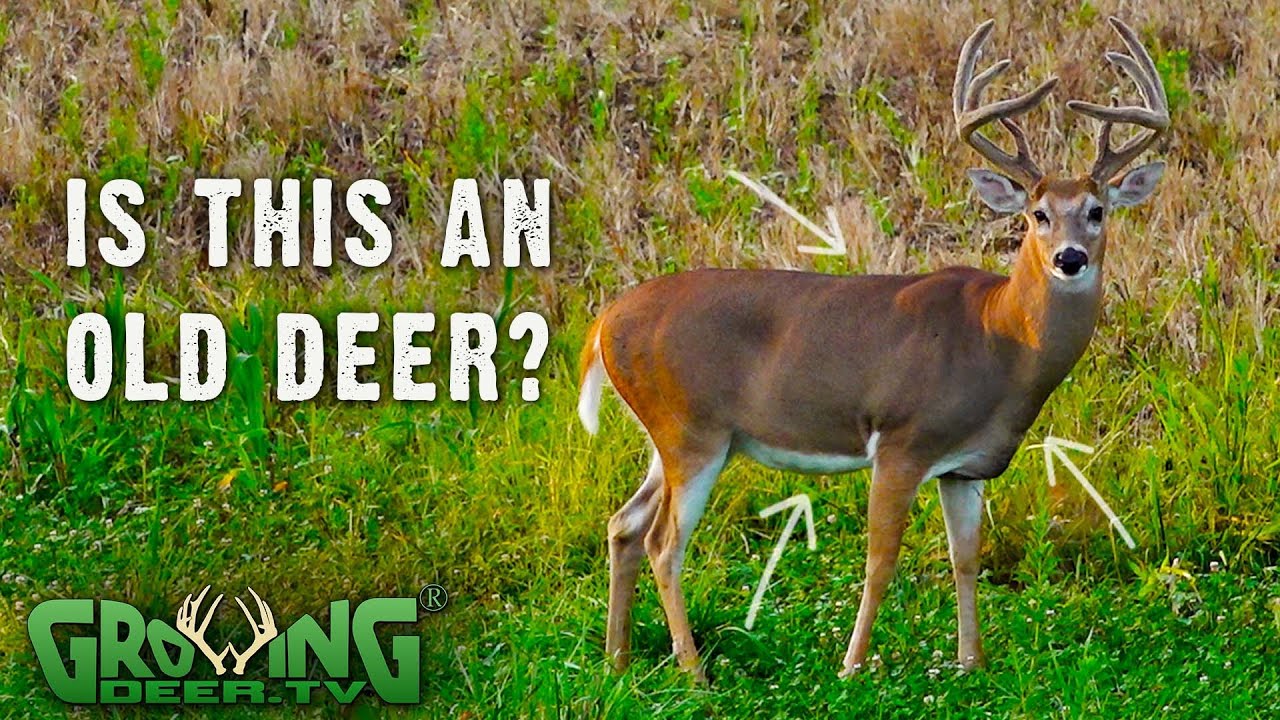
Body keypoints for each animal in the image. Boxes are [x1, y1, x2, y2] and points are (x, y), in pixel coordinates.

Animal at [577, 17, 1168, 681]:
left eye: (1097, 211)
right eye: (1038, 214)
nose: (1070, 258)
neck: (1001, 338)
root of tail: (603, 322)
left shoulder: (964, 466)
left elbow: (967, 558)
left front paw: (970, 663)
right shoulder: (901, 440)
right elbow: (881, 561)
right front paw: (851, 668)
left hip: (672, 435)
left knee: (624, 524)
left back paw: (618, 660)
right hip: (690, 430)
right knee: (664, 542)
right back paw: (695, 673)